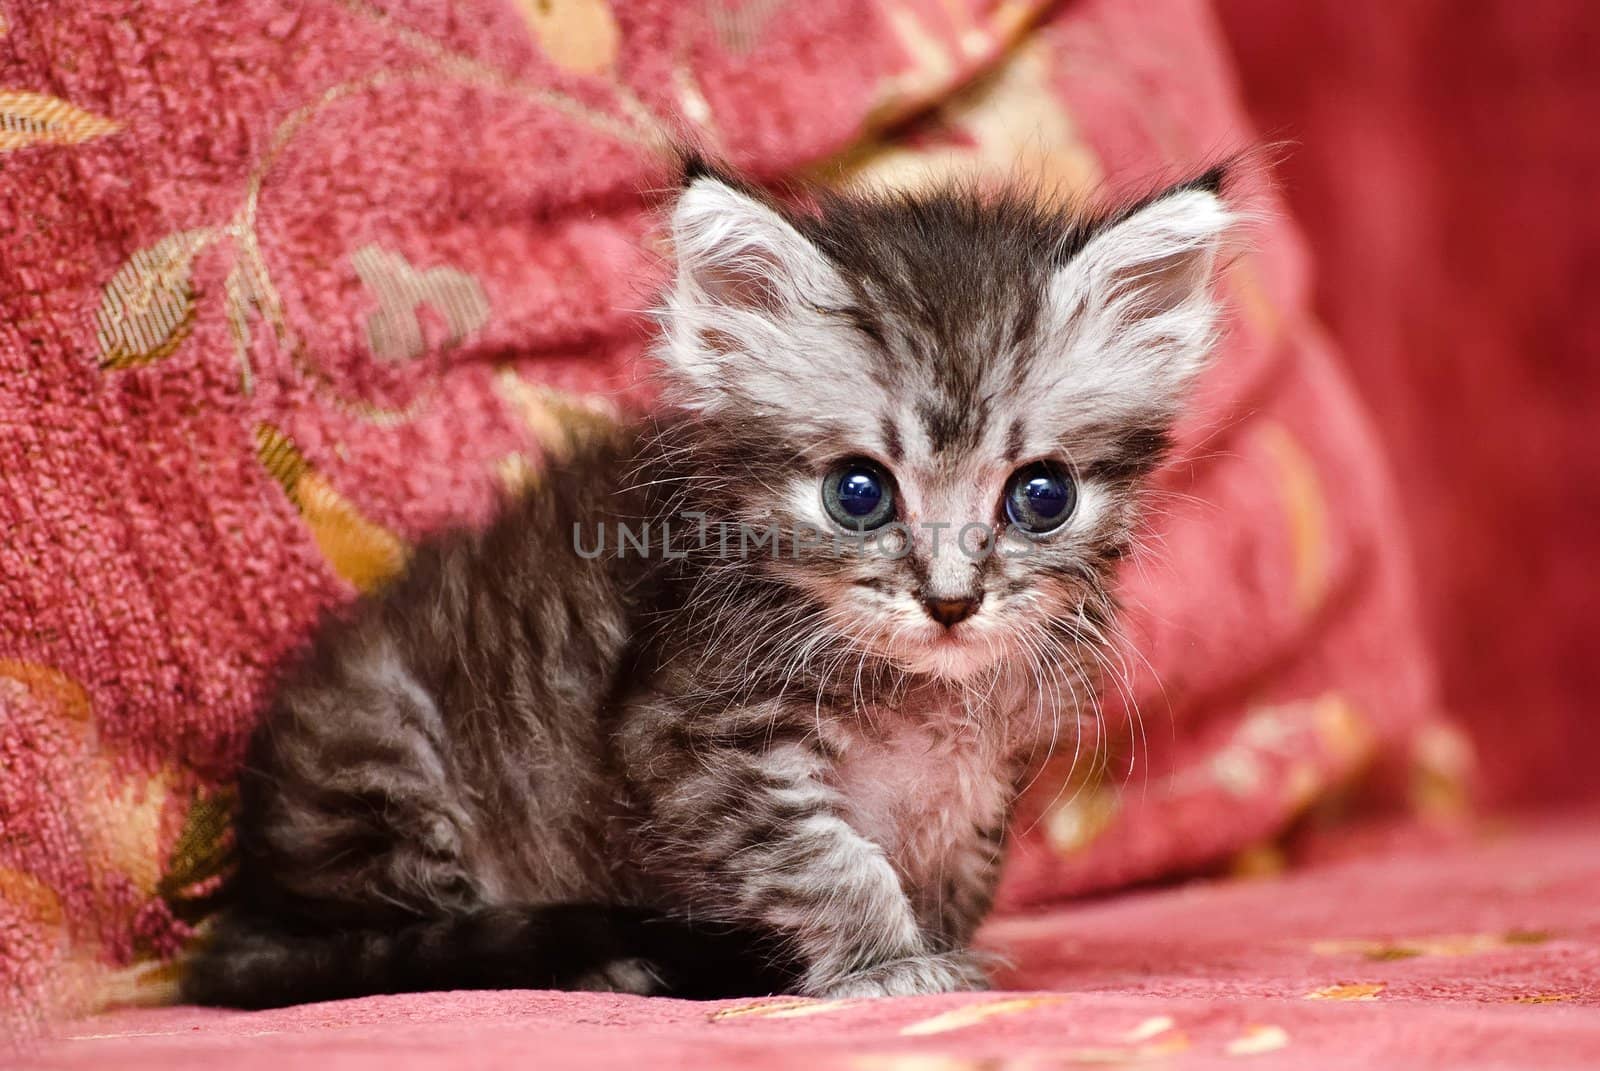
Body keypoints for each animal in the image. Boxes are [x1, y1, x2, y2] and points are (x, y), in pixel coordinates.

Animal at [187, 156, 1235, 1005]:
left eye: (1042, 495)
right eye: (859, 492)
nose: (950, 601)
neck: (919, 698)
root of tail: (248, 889)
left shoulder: (981, 780)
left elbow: (957, 870)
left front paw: (942, 945)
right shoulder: (688, 746)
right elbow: (831, 859)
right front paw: (885, 964)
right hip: (386, 761)